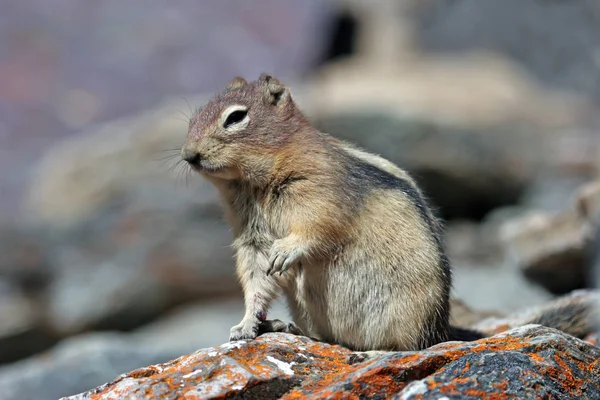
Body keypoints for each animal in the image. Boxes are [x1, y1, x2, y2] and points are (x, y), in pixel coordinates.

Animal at [182, 72, 600, 362]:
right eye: (196, 115)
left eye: (236, 117)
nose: (189, 155)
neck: (252, 183)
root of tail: (442, 329)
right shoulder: (250, 236)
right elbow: (255, 278)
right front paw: (245, 326)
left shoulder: (320, 192)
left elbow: (317, 229)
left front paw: (287, 252)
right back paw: (286, 326)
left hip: (405, 315)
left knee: (408, 348)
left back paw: (371, 353)